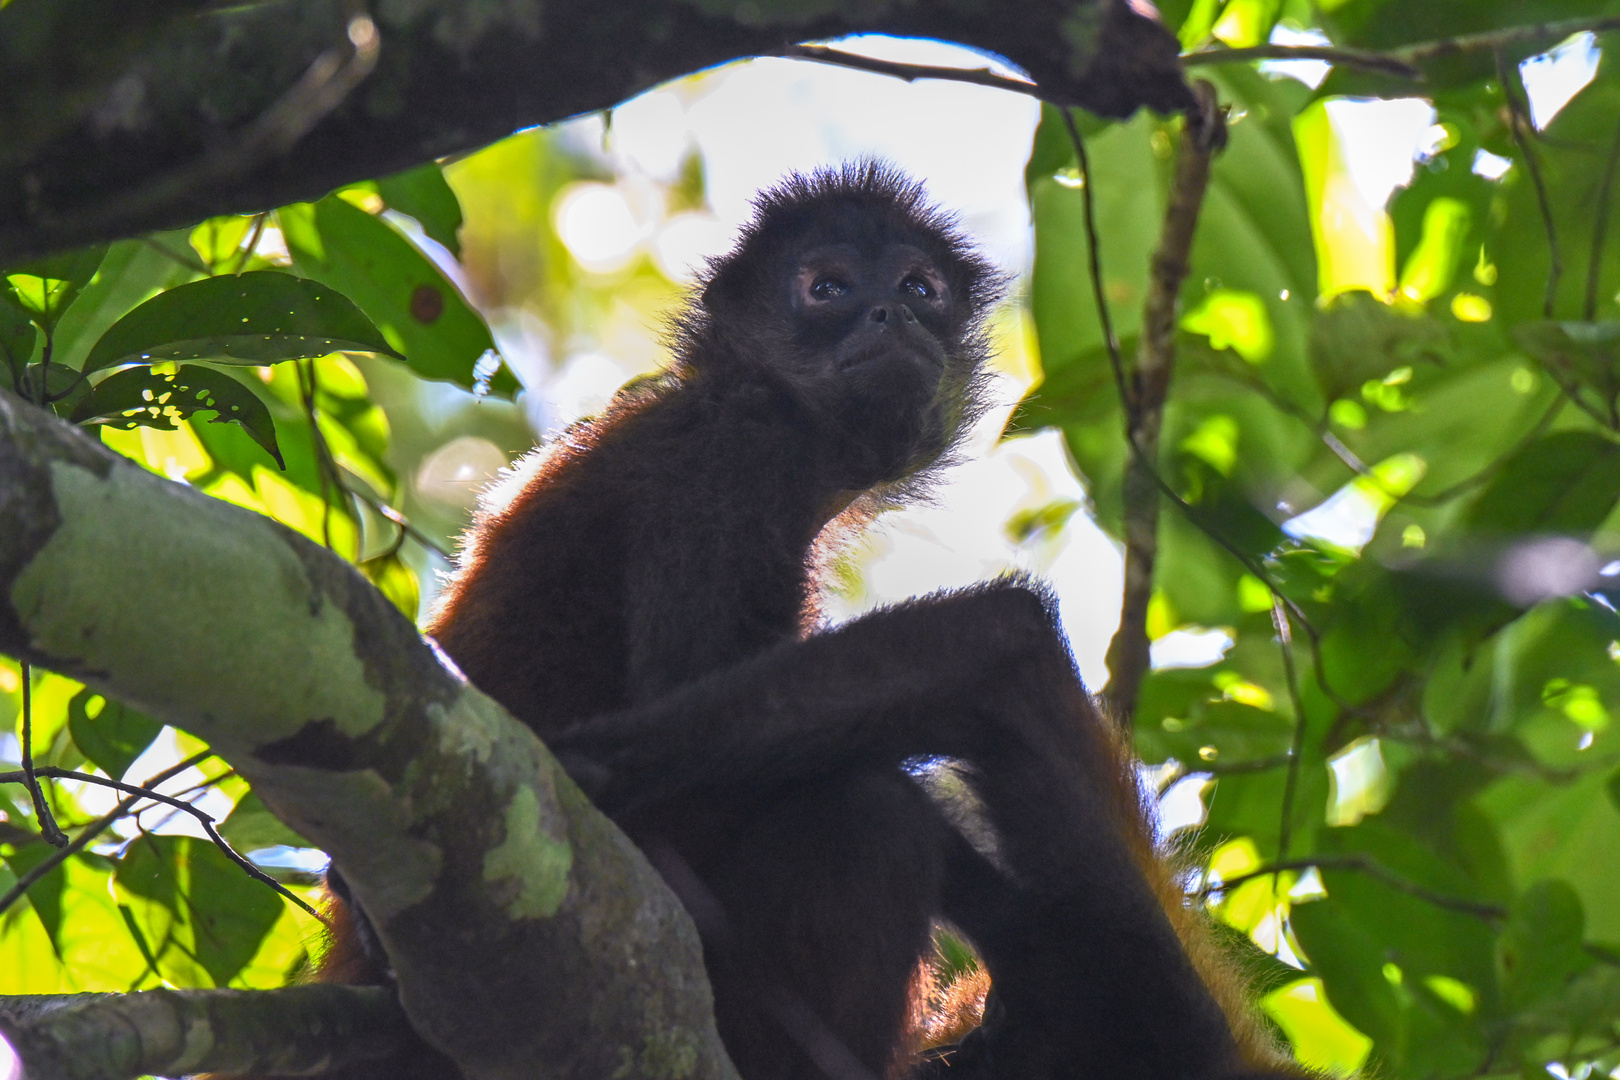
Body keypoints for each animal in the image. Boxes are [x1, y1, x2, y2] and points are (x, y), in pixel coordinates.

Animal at [288, 165, 1302, 1080]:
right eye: (828, 288)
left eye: (920, 288)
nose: (889, 316)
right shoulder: (735, 456)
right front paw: (590, 768)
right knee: (865, 809)